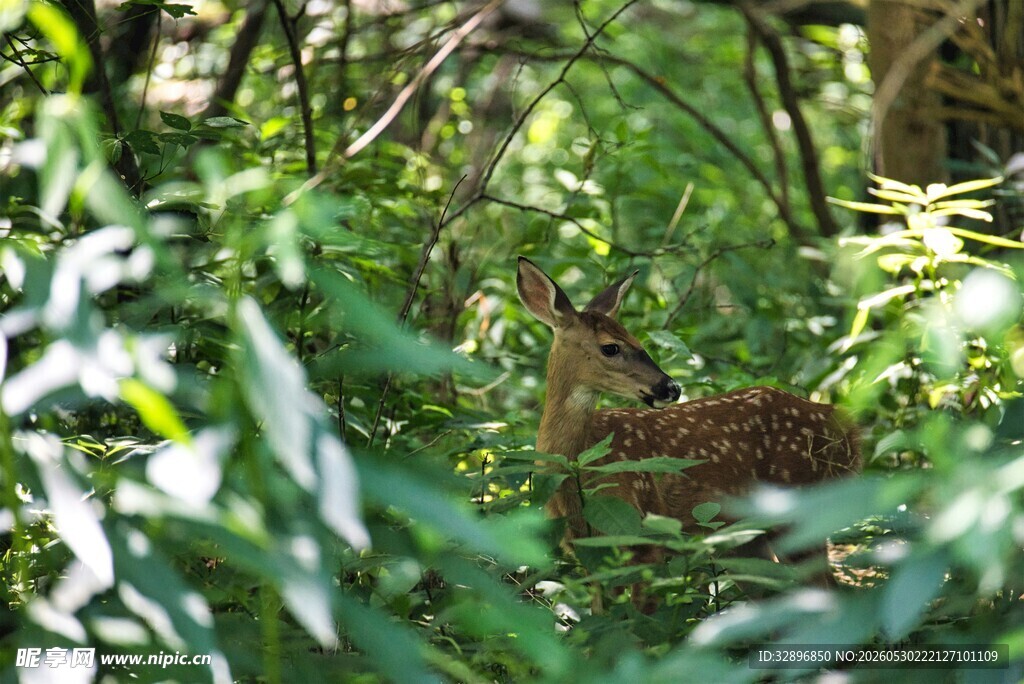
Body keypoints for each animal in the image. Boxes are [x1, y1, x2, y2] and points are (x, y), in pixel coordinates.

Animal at [516, 256, 860, 586]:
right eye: (610, 347)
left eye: (637, 338)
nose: (672, 387)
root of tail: (848, 431)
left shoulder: (640, 534)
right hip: (746, 537)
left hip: (799, 508)